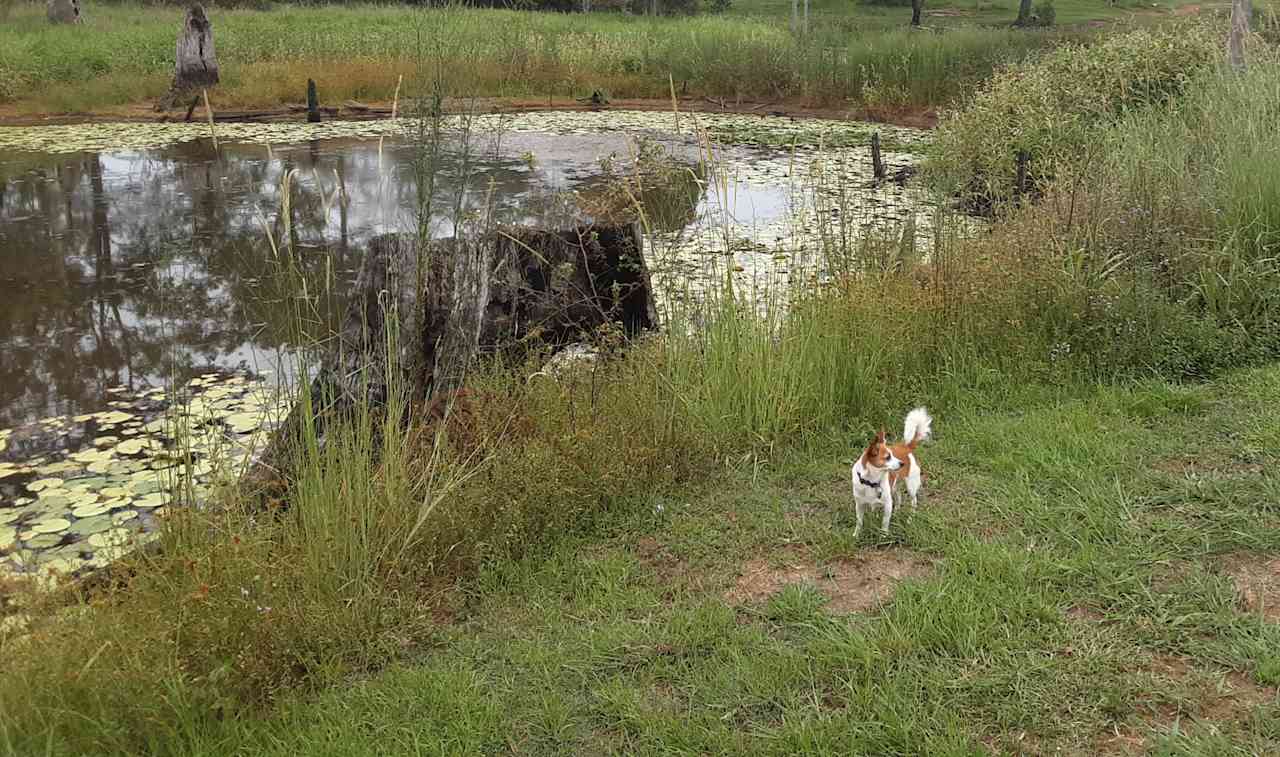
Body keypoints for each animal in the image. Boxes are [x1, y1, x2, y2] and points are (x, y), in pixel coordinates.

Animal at [849, 404, 931, 535]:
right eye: (887, 457)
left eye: (892, 455)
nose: (902, 463)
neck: (871, 481)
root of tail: (906, 447)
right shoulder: (859, 504)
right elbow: (859, 521)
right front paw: (856, 534)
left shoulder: (887, 505)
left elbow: (884, 523)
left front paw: (883, 535)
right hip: (895, 486)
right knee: (899, 498)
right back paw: (896, 512)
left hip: (911, 486)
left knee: (914, 502)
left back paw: (910, 518)